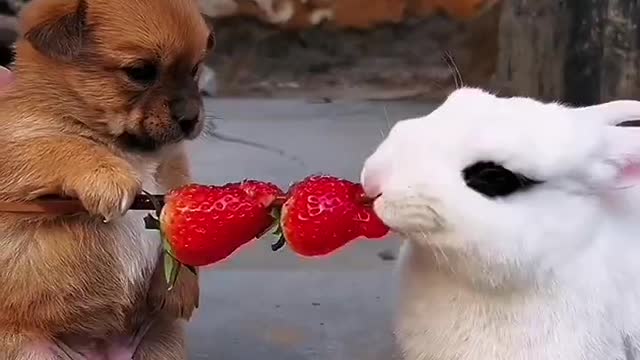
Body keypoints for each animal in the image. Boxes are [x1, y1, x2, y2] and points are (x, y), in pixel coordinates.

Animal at [0, 0, 212, 358]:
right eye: (140, 72)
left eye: (195, 69)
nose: (191, 119)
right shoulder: (16, 149)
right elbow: (63, 145)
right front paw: (107, 175)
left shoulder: (173, 168)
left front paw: (179, 287)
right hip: (30, 350)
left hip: (161, 343)